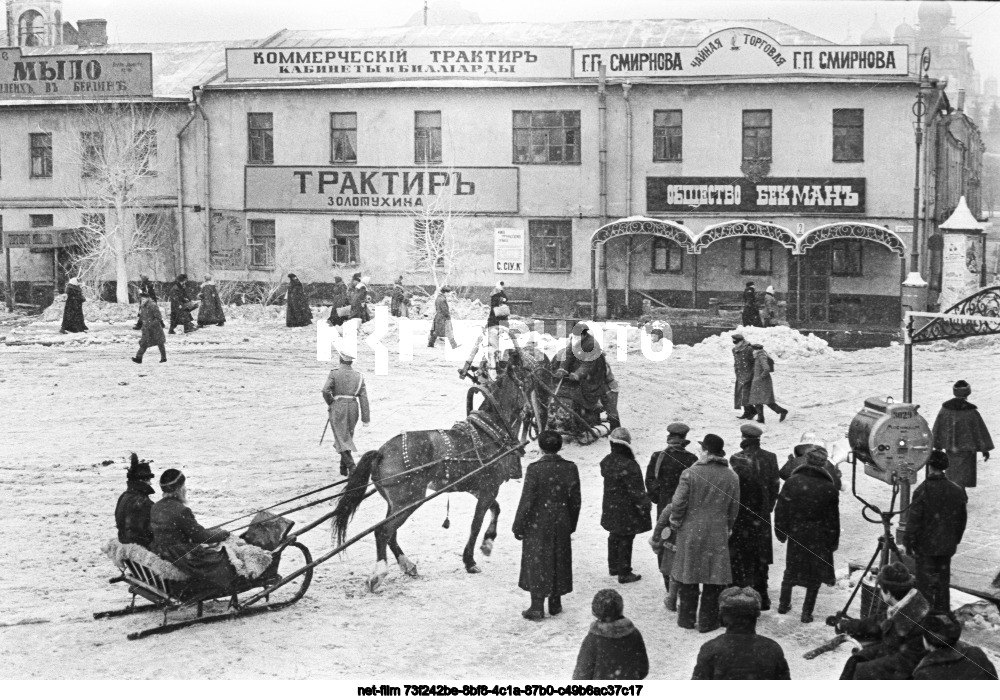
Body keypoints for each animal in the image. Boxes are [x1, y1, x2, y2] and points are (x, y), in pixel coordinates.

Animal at [332, 360, 536, 592]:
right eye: (526, 382)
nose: (531, 412)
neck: (489, 433)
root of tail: (381, 452)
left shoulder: (479, 488)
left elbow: (496, 509)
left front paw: (488, 543)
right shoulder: (488, 488)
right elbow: (476, 524)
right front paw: (470, 561)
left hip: (397, 504)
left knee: (390, 533)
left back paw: (407, 565)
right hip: (409, 501)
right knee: (383, 532)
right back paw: (379, 573)